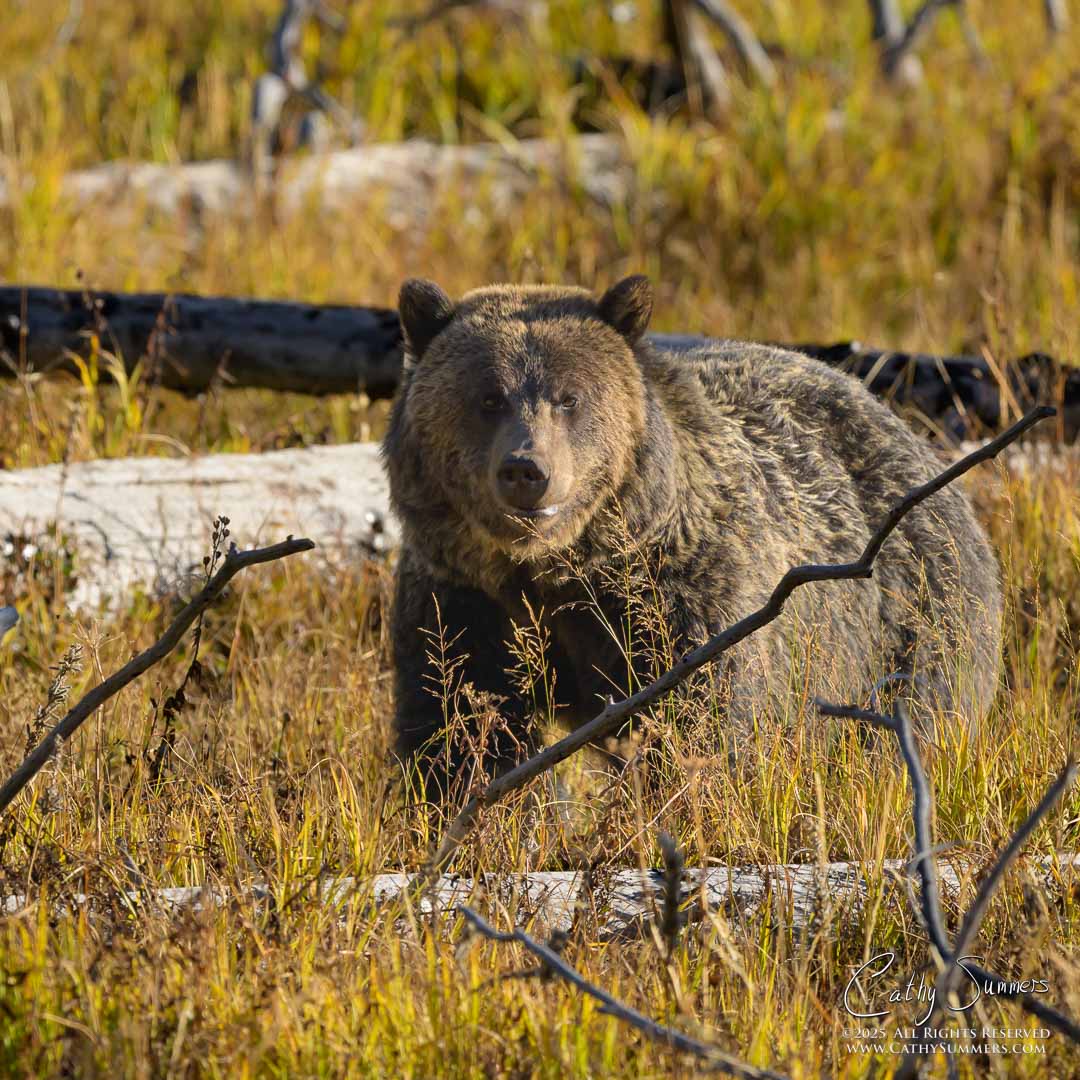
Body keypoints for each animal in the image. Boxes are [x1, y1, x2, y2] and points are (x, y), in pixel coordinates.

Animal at [383, 275, 1002, 799]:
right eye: (488, 397)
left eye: (569, 397)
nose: (526, 470)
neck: (557, 570)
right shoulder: (464, 598)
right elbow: (458, 716)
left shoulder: (683, 594)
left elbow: (700, 715)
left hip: (913, 615)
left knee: (905, 724)